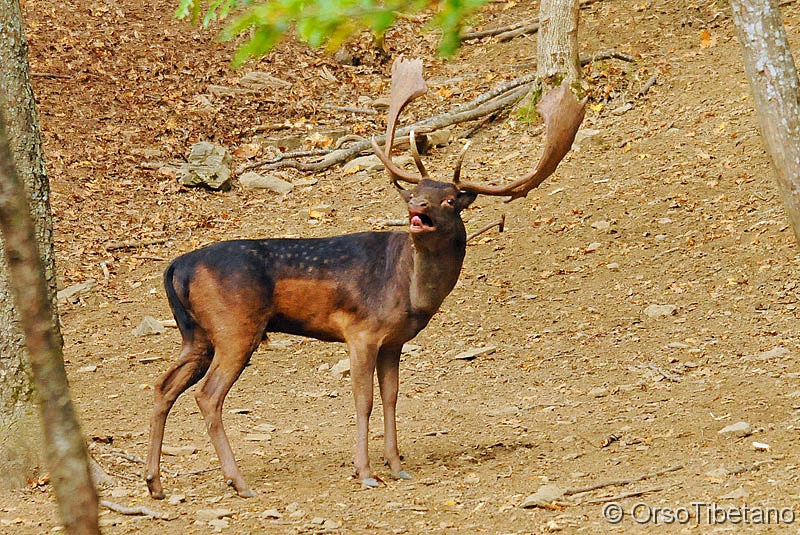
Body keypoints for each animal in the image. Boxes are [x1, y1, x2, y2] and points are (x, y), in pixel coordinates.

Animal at [144, 56, 588, 500]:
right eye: (419, 189)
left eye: (449, 199)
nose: (416, 205)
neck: (410, 292)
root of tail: (175, 267)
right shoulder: (360, 331)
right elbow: (364, 401)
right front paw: (366, 471)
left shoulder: (394, 341)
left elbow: (392, 396)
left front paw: (397, 465)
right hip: (235, 325)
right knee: (207, 396)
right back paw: (238, 481)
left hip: (197, 335)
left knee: (163, 385)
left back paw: (155, 483)